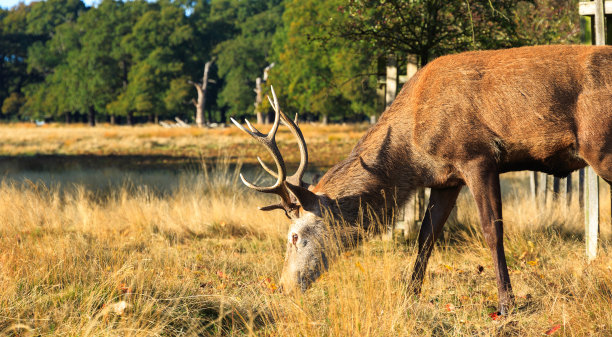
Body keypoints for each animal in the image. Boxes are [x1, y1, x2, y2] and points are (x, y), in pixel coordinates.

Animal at [233, 45, 612, 316]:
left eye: (295, 237)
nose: (283, 286)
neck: (411, 154)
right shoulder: (445, 179)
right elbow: (426, 237)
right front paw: (409, 294)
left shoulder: (477, 157)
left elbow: (492, 231)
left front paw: (505, 304)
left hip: (600, 147)